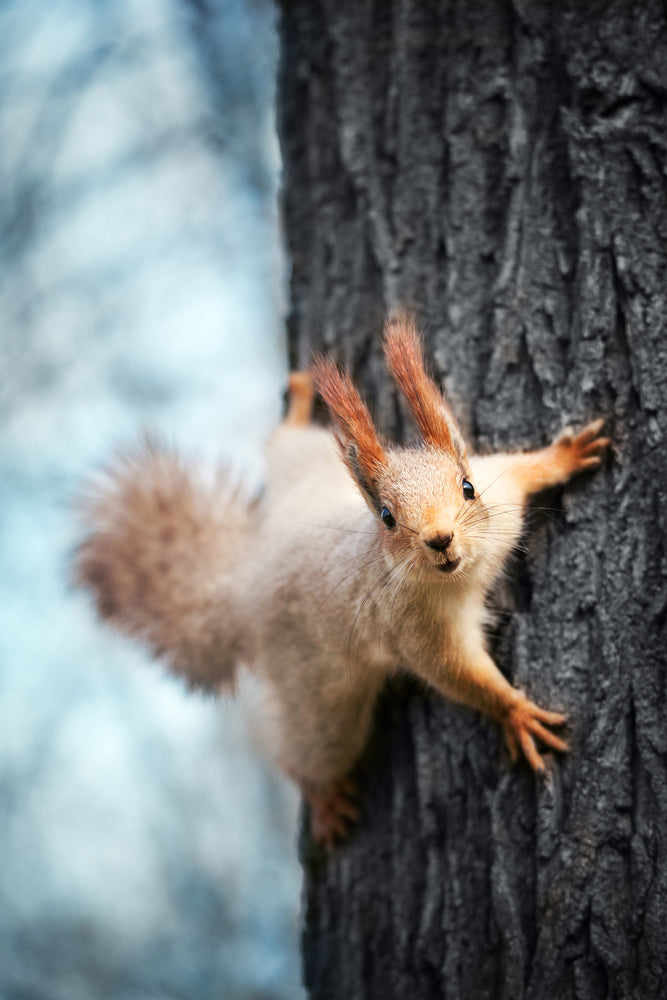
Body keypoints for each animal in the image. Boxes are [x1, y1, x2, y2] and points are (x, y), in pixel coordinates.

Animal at [75, 315, 610, 847]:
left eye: (467, 488)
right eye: (387, 518)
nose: (440, 539)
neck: (464, 573)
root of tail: (245, 586)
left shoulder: (503, 497)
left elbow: (525, 469)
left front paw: (566, 455)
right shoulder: (415, 630)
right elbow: (458, 674)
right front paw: (515, 713)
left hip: (303, 467)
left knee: (283, 444)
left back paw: (297, 405)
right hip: (321, 704)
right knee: (306, 755)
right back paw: (324, 799)